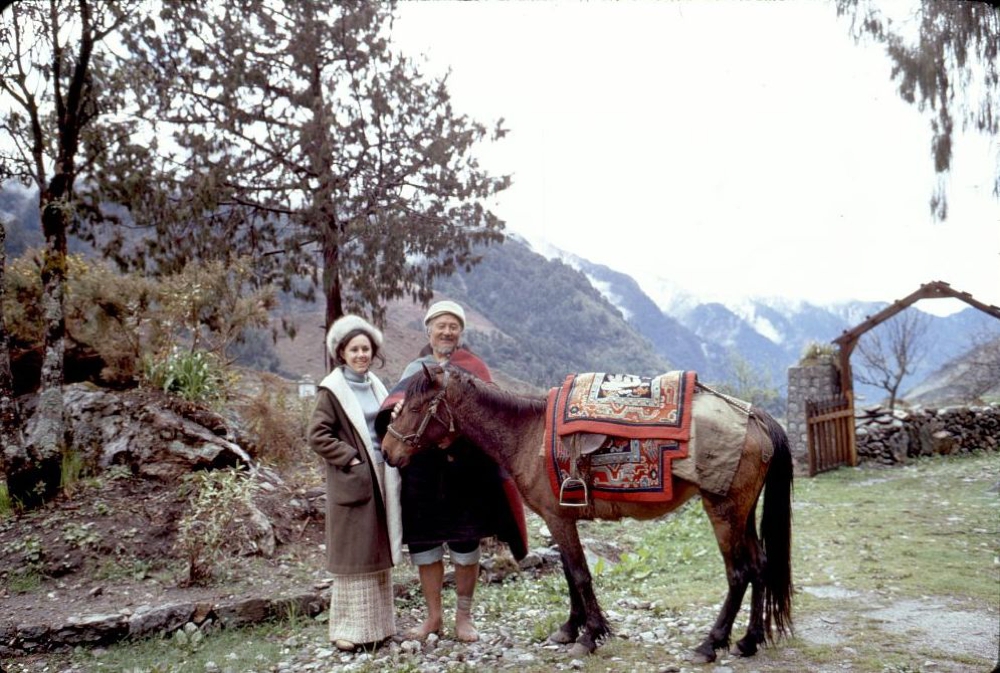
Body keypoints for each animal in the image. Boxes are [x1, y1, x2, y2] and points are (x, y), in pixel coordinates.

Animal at [378, 362, 792, 660]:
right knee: (760, 566)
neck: (527, 435)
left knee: (739, 573)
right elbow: (568, 573)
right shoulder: (560, 519)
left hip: (723, 510)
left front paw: (589, 636)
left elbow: (579, 575)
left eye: (415, 407)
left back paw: (710, 644)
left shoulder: (558, 519)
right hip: (742, 511)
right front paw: (569, 629)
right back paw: (748, 641)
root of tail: (755, 417)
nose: (387, 451)